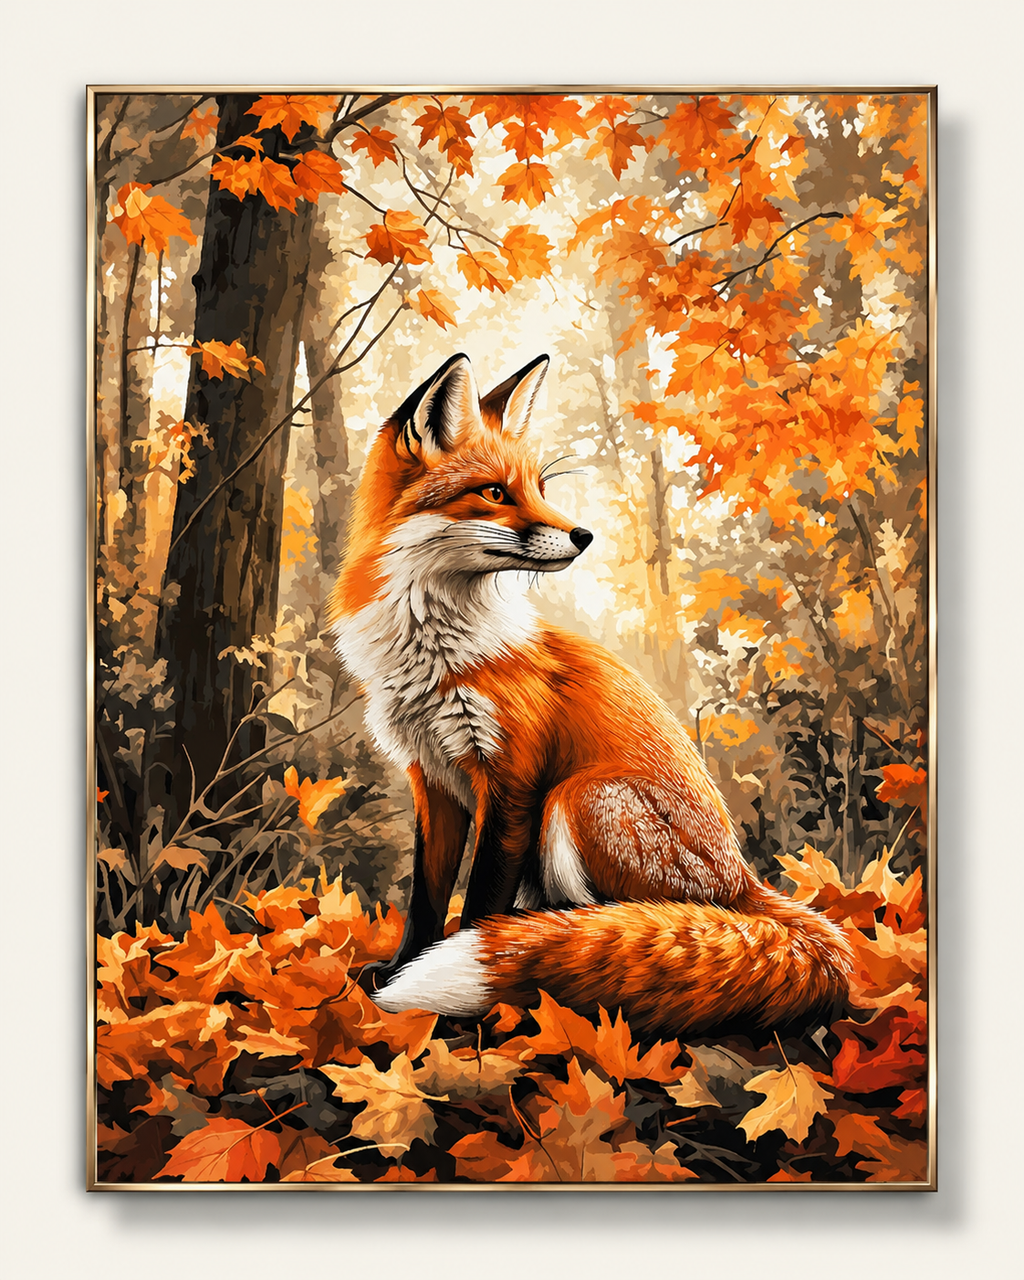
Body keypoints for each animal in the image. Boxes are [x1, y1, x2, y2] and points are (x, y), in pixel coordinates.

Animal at [330, 352, 853, 1038]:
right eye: (495, 493)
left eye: (539, 490)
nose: (583, 535)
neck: (435, 650)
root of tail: (745, 884)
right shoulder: (433, 781)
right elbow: (424, 900)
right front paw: (400, 971)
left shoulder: (515, 784)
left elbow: (479, 908)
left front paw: (474, 988)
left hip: (578, 798)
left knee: (619, 921)